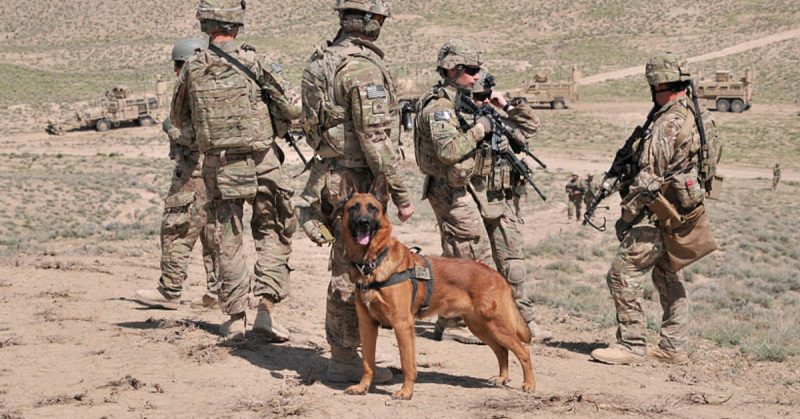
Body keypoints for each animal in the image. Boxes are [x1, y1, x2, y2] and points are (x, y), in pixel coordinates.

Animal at [338, 174, 536, 400]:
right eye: (354, 208)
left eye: (373, 208)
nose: (363, 223)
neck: (372, 262)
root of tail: (498, 275)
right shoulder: (367, 325)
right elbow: (368, 362)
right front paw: (362, 387)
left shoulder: (402, 324)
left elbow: (407, 363)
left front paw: (406, 392)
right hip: (481, 327)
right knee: (502, 350)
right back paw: (502, 378)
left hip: (497, 326)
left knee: (523, 351)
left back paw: (529, 384)